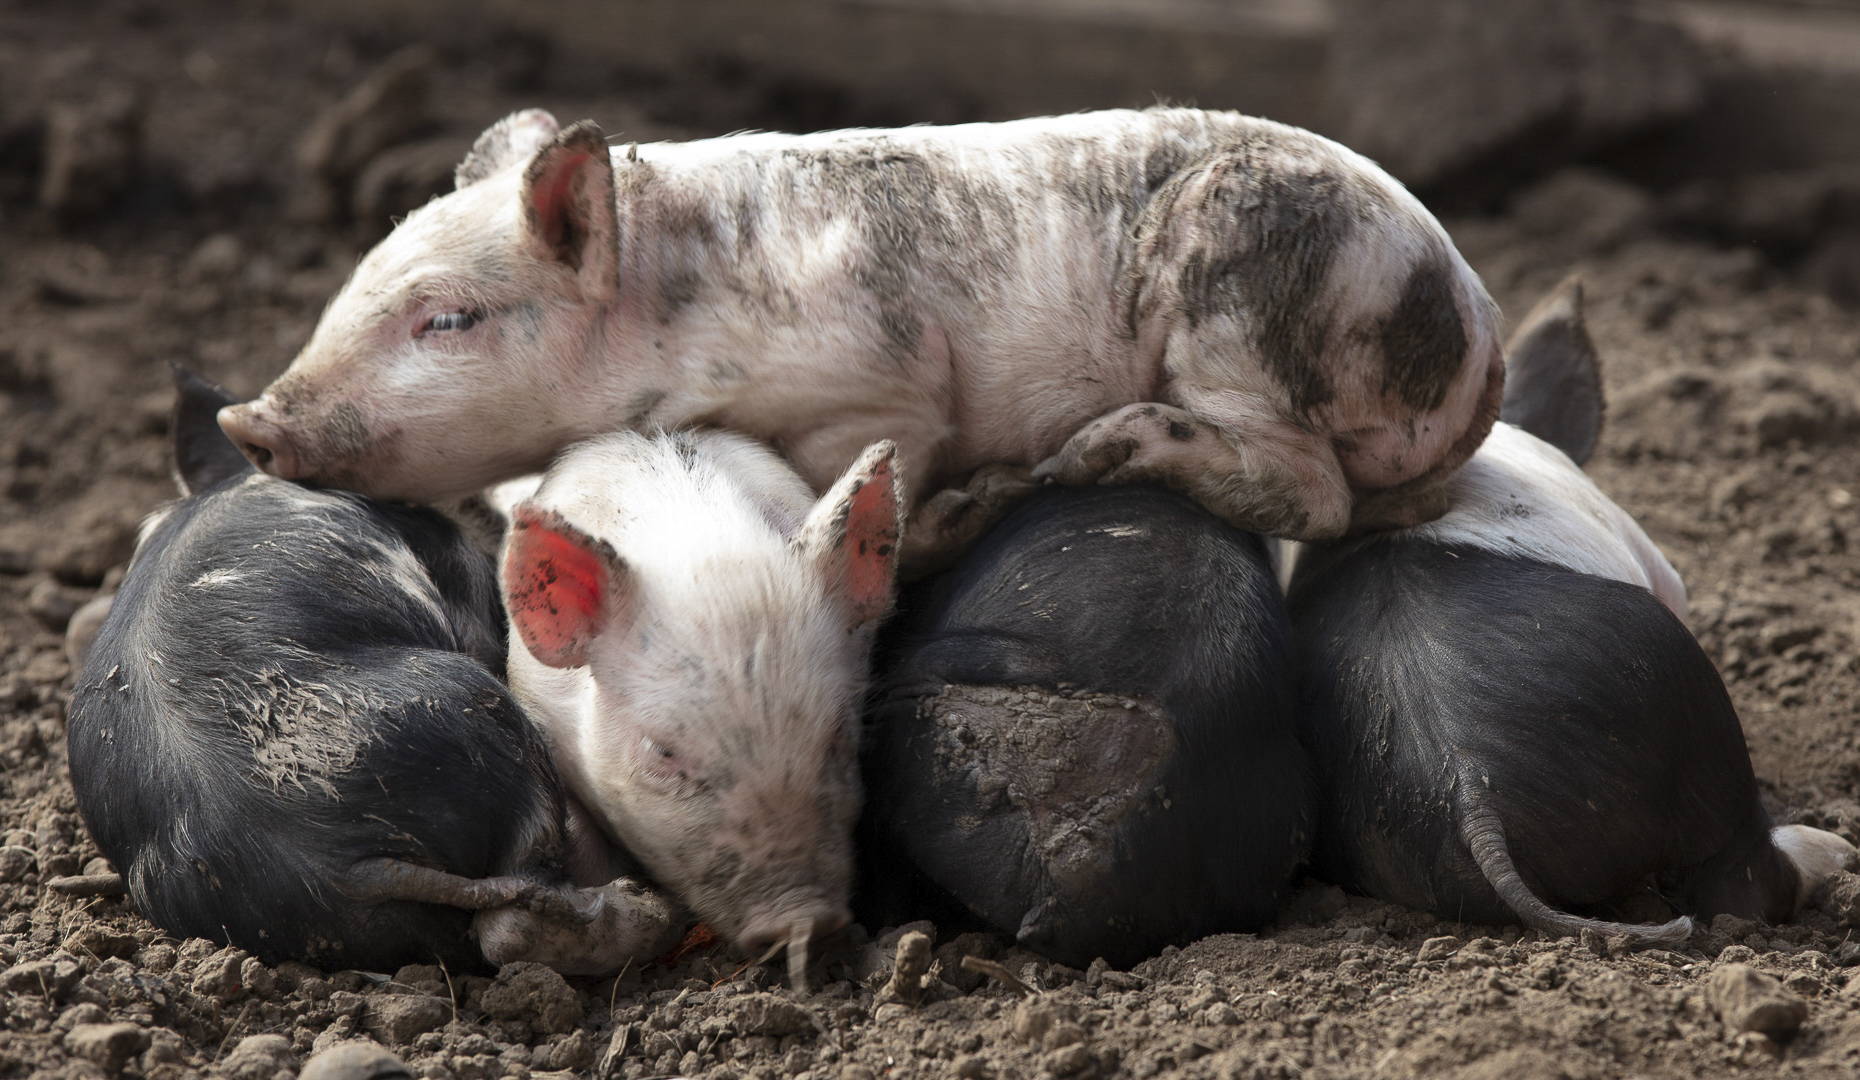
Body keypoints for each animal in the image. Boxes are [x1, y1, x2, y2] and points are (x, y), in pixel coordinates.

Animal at [219, 106, 1504, 566]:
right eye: (352, 286)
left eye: (448, 317)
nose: (247, 418)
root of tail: (1477, 325)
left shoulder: (886, 387)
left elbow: (864, 476)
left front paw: (964, 506)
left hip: (1240, 307)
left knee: (1311, 495)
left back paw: (1093, 454)